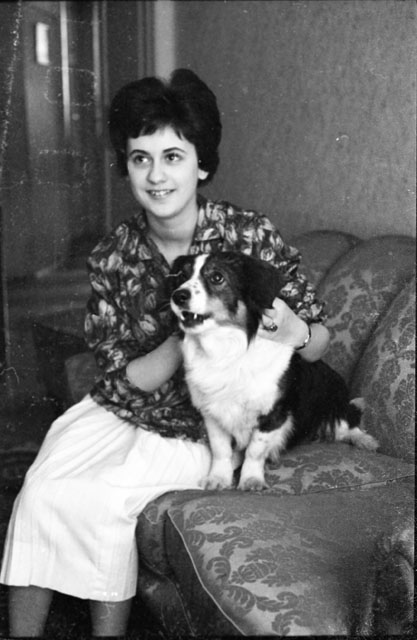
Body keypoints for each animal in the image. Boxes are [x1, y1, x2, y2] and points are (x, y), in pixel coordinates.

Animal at [169, 251, 378, 491]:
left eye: (217, 277)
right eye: (181, 276)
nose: (177, 296)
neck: (226, 350)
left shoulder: (272, 414)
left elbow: (254, 451)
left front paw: (251, 479)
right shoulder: (212, 414)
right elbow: (220, 450)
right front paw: (219, 478)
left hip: (334, 405)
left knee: (349, 422)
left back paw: (365, 440)